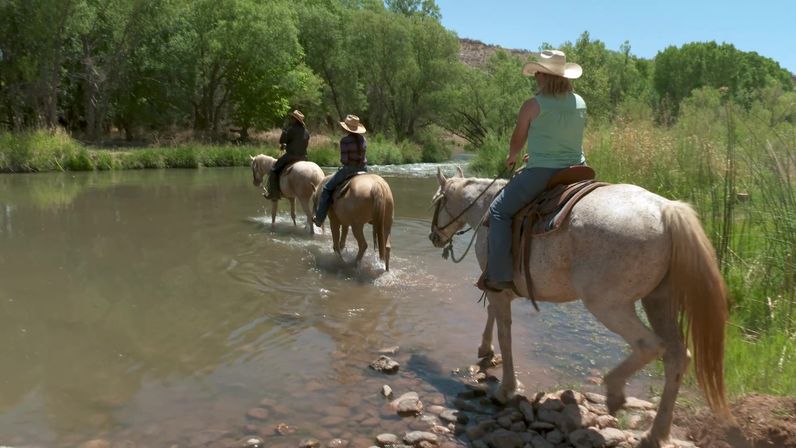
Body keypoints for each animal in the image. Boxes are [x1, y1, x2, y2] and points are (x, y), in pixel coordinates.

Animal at [428, 166, 730, 448]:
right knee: (678, 356)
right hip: (658, 300)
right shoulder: (498, 288)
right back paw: (655, 433)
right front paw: (485, 350)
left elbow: (505, 334)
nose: (434, 237)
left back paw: (615, 392)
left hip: (608, 305)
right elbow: (492, 315)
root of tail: (665, 210)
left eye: (436, 202)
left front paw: (506, 389)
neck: (486, 208)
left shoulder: (498, 288)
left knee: (650, 346)